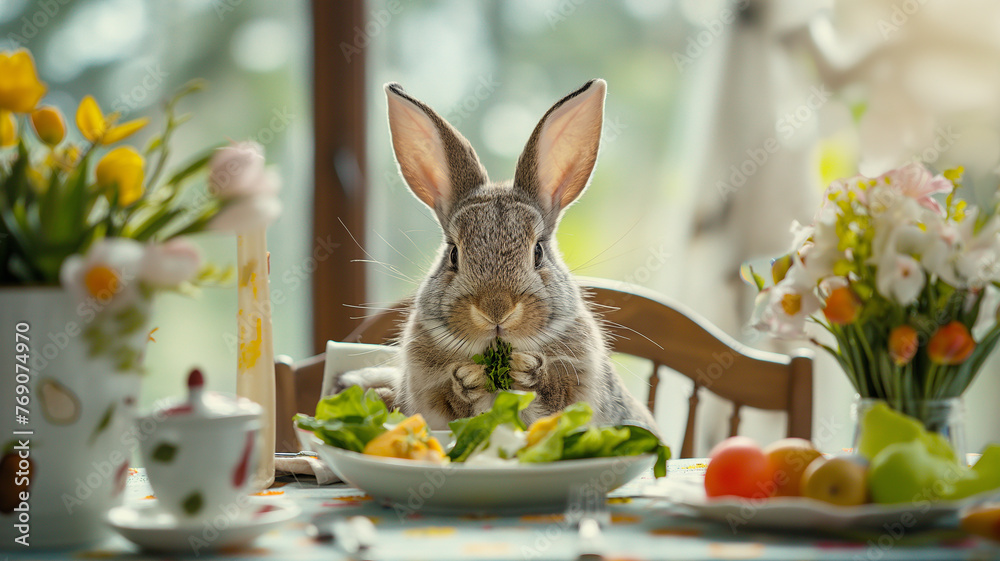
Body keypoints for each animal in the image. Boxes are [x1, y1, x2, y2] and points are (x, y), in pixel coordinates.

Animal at [374, 77, 656, 434]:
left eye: (537, 252)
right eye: (453, 254)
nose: (496, 310)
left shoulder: (579, 381)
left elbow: (555, 396)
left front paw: (527, 370)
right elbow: (450, 403)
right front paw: (467, 379)